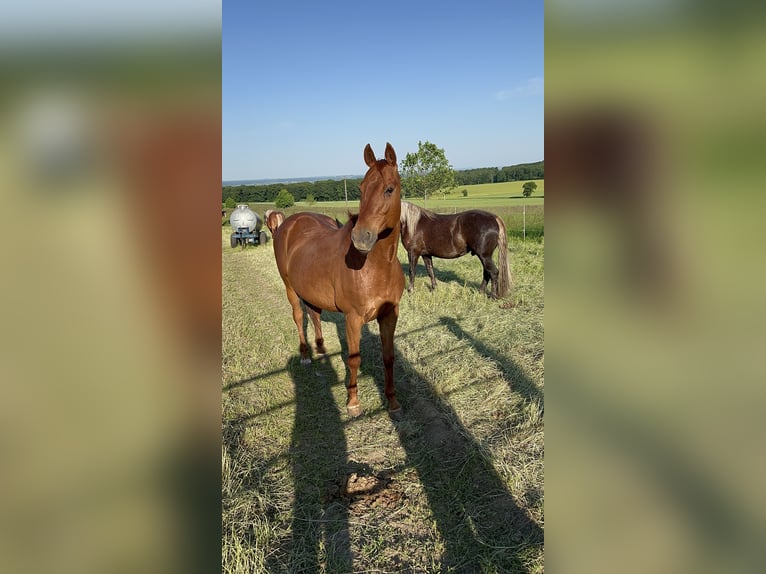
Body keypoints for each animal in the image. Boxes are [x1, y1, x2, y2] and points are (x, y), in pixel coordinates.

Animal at [274, 142, 408, 416]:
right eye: (361, 188)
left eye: (389, 189)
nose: (361, 237)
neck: (376, 267)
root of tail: (289, 223)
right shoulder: (353, 318)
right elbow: (354, 359)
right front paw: (353, 403)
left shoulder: (389, 315)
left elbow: (389, 358)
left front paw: (392, 402)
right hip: (290, 288)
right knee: (299, 316)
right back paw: (305, 355)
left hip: (311, 291)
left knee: (314, 315)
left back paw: (321, 350)